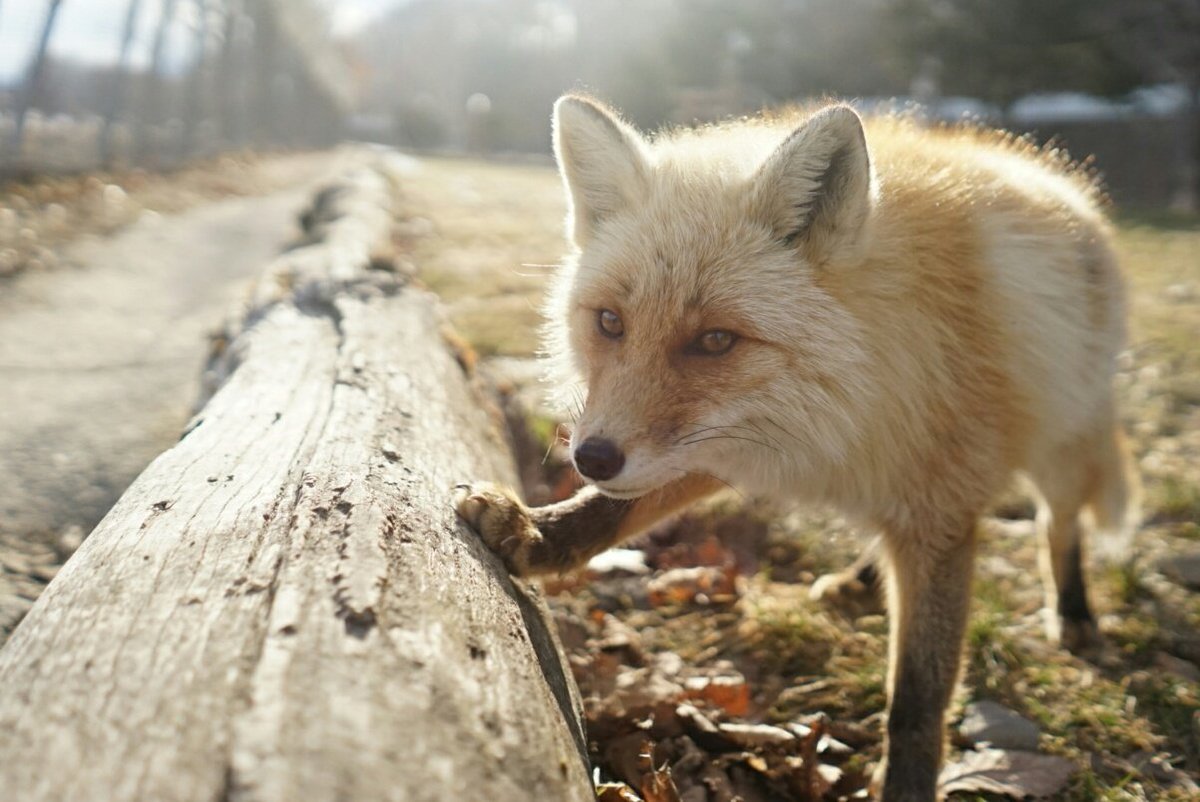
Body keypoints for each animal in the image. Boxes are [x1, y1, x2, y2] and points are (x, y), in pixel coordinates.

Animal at [453, 95, 1137, 802]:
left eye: (715, 340)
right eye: (610, 322)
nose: (589, 458)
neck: (852, 403)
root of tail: (1066, 186)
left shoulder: (940, 509)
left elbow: (917, 696)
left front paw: (906, 786)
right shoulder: (743, 442)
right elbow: (611, 511)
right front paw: (540, 534)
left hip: (1060, 448)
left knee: (1058, 525)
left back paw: (1074, 611)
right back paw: (863, 576)